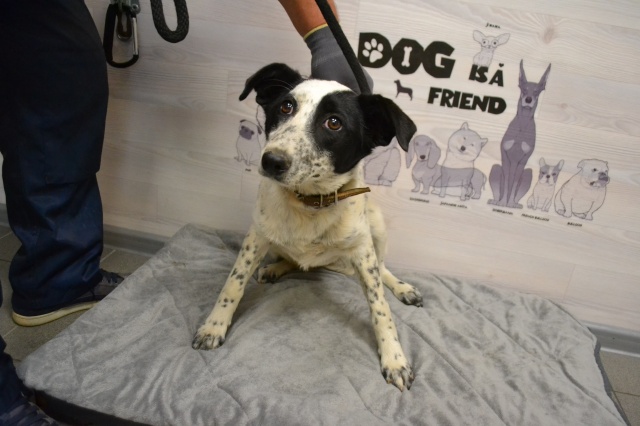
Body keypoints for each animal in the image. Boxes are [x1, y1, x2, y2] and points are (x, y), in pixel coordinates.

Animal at [192, 63, 422, 391]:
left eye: (334, 123)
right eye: (286, 106)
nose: (271, 161)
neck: (311, 202)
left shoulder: (363, 251)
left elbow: (381, 308)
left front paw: (394, 358)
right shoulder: (256, 236)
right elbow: (232, 284)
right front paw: (214, 326)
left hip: (377, 228)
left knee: (383, 266)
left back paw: (402, 287)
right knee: (291, 259)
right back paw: (276, 269)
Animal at [488, 60, 551, 209]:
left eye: (536, 91)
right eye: (524, 89)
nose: (528, 99)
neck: (522, 127)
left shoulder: (523, 160)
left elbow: (515, 183)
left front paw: (510, 202)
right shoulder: (505, 156)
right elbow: (506, 182)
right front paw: (502, 202)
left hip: (528, 174)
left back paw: (515, 204)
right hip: (495, 168)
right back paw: (496, 201)